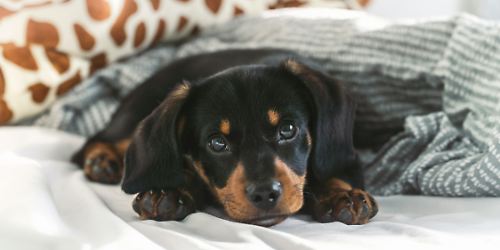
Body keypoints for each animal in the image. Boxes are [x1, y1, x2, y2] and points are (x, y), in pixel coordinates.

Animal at [71, 48, 378, 227]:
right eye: (217, 142)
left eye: (288, 129)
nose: (265, 194)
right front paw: (169, 193)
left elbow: (333, 174)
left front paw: (341, 195)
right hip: (135, 113)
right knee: (100, 140)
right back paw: (102, 161)